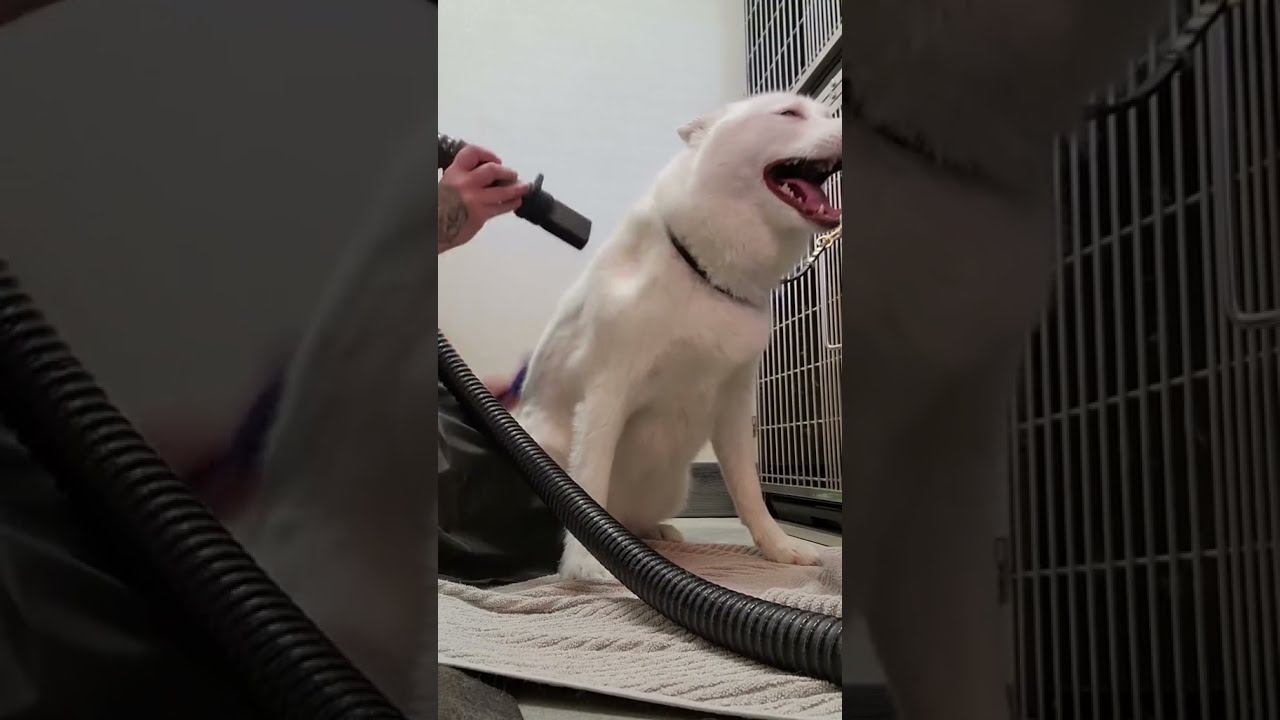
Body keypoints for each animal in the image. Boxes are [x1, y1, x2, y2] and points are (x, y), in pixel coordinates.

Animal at [514, 91, 841, 581]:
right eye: (788, 113)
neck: (705, 271)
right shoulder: (607, 388)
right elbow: (590, 482)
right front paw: (586, 564)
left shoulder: (734, 404)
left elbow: (750, 491)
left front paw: (780, 548)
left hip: (673, 484)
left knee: (636, 518)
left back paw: (656, 533)